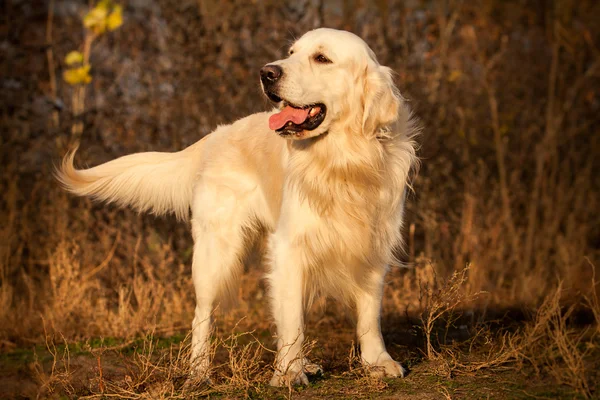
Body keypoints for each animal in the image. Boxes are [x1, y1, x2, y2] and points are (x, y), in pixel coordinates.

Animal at [56, 27, 418, 384]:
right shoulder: (289, 247)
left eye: (322, 58)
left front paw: (377, 362)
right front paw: (288, 372)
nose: (266, 72)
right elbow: (292, 319)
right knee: (203, 316)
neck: (343, 162)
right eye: (291, 53)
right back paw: (199, 373)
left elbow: (368, 314)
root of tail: (217, 134)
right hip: (216, 253)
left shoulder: (373, 245)